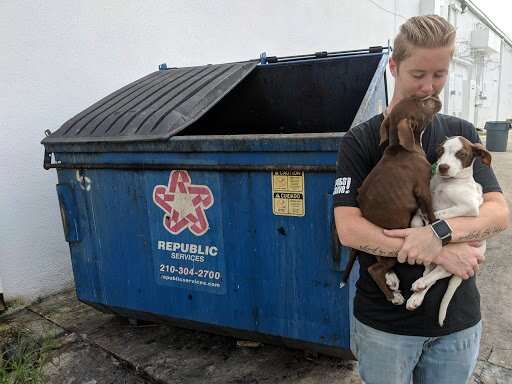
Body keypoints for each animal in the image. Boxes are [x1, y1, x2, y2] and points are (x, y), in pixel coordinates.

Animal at [340, 95, 440, 304]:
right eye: (423, 102)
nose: (436, 98)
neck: (402, 147)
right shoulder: (422, 189)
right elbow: (430, 210)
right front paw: (435, 223)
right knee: (374, 270)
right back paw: (393, 296)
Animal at [406, 136, 490, 326]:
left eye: (461, 154)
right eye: (440, 151)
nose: (443, 167)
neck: (446, 183)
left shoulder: (469, 207)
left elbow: (439, 214)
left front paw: (430, 220)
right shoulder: (425, 197)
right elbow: (417, 215)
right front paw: (417, 223)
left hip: (459, 257)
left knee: (440, 272)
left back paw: (420, 284)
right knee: (431, 270)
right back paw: (417, 294)